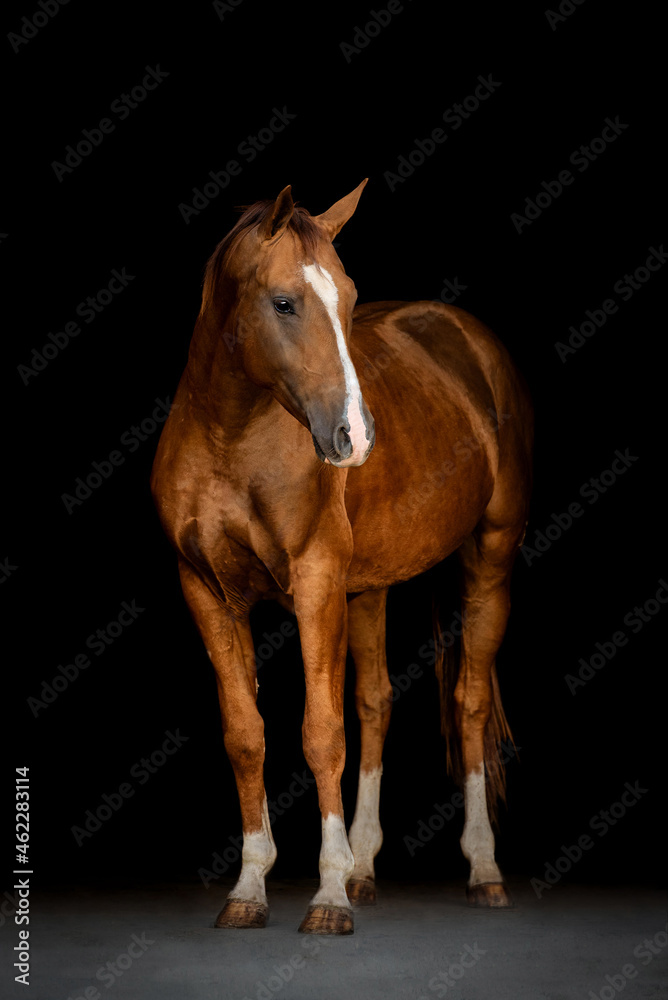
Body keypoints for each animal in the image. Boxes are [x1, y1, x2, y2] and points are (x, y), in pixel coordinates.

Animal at [150, 180, 533, 935]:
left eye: (352, 299)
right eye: (283, 302)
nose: (353, 436)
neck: (230, 439)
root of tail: (467, 336)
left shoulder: (315, 582)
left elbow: (321, 732)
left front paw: (325, 897)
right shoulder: (206, 590)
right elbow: (247, 734)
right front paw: (250, 887)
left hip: (490, 560)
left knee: (469, 704)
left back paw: (483, 869)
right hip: (368, 588)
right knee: (375, 702)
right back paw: (364, 868)